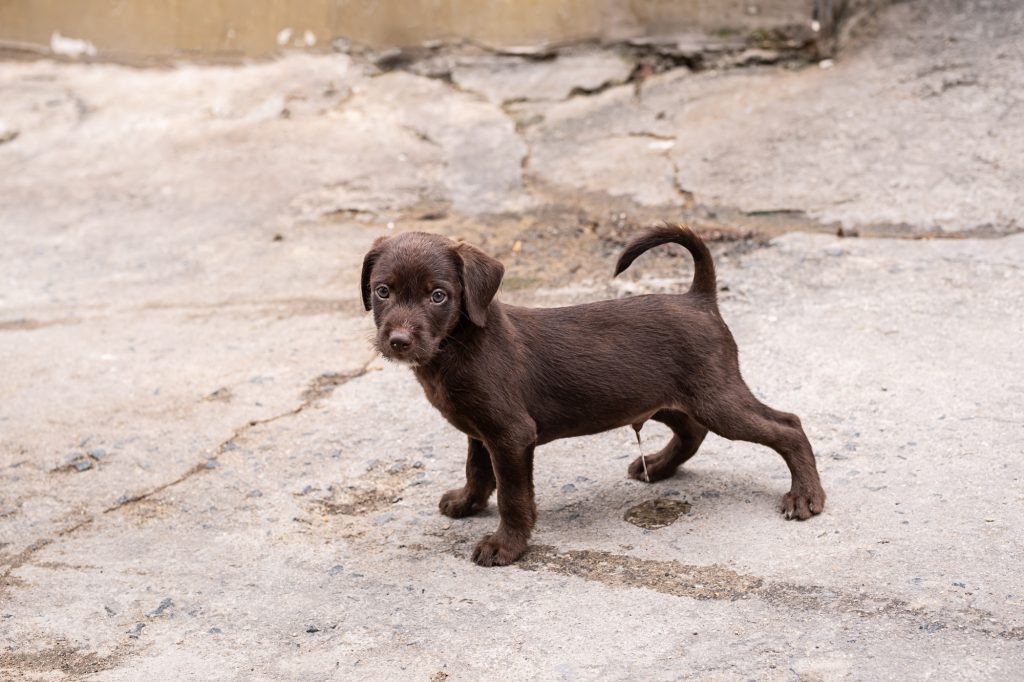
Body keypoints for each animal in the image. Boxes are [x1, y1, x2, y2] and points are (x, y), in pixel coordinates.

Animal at [360, 223, 823, 561]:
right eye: (383, 290)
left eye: (438, 295)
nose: (398, 341)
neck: (457, 345)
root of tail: (699, 298)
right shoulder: (480, 429)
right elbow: (477, 471)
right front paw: (466, 503)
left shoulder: (511, 434)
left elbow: (513, 496)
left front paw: (506, 546)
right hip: (658, 398)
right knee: (693, 431)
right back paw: (657, 465)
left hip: (717, 397)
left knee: (788, 425)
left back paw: (806, 496)